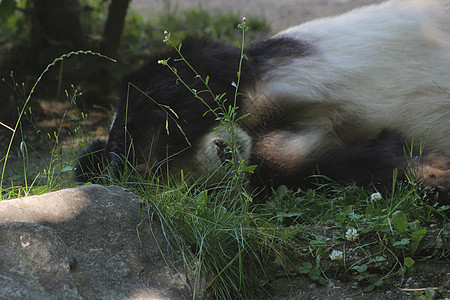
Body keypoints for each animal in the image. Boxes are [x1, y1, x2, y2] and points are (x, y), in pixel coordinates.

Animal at [75, 0, 448, 202]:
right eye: (187, 181)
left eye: (168, 145)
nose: (225, 153)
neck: (253, 124)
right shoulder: (271, 158)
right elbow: (330, 165)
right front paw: (431, 171)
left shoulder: (237, 68)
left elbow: (192, 76)